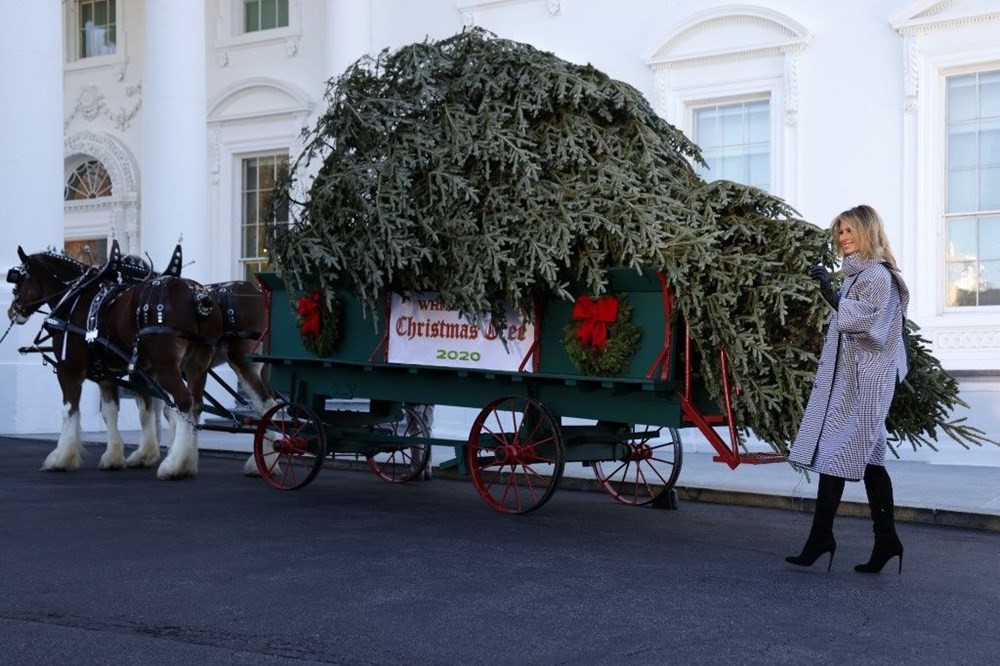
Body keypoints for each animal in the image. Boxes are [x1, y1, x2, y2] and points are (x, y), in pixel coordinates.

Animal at [6, 244, 225, 478]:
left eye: (18, 280)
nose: (12, 311)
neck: (75, 298)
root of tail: (197, 294)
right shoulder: (111, 374)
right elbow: (119, 412)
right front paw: (120, 456)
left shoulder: (69, 369)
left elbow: (69, 411)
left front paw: (61, 457)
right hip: (197, 366)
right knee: (196, 405)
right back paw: (188, 461)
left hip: (166, 365)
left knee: (184, 402)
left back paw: (175, 464)